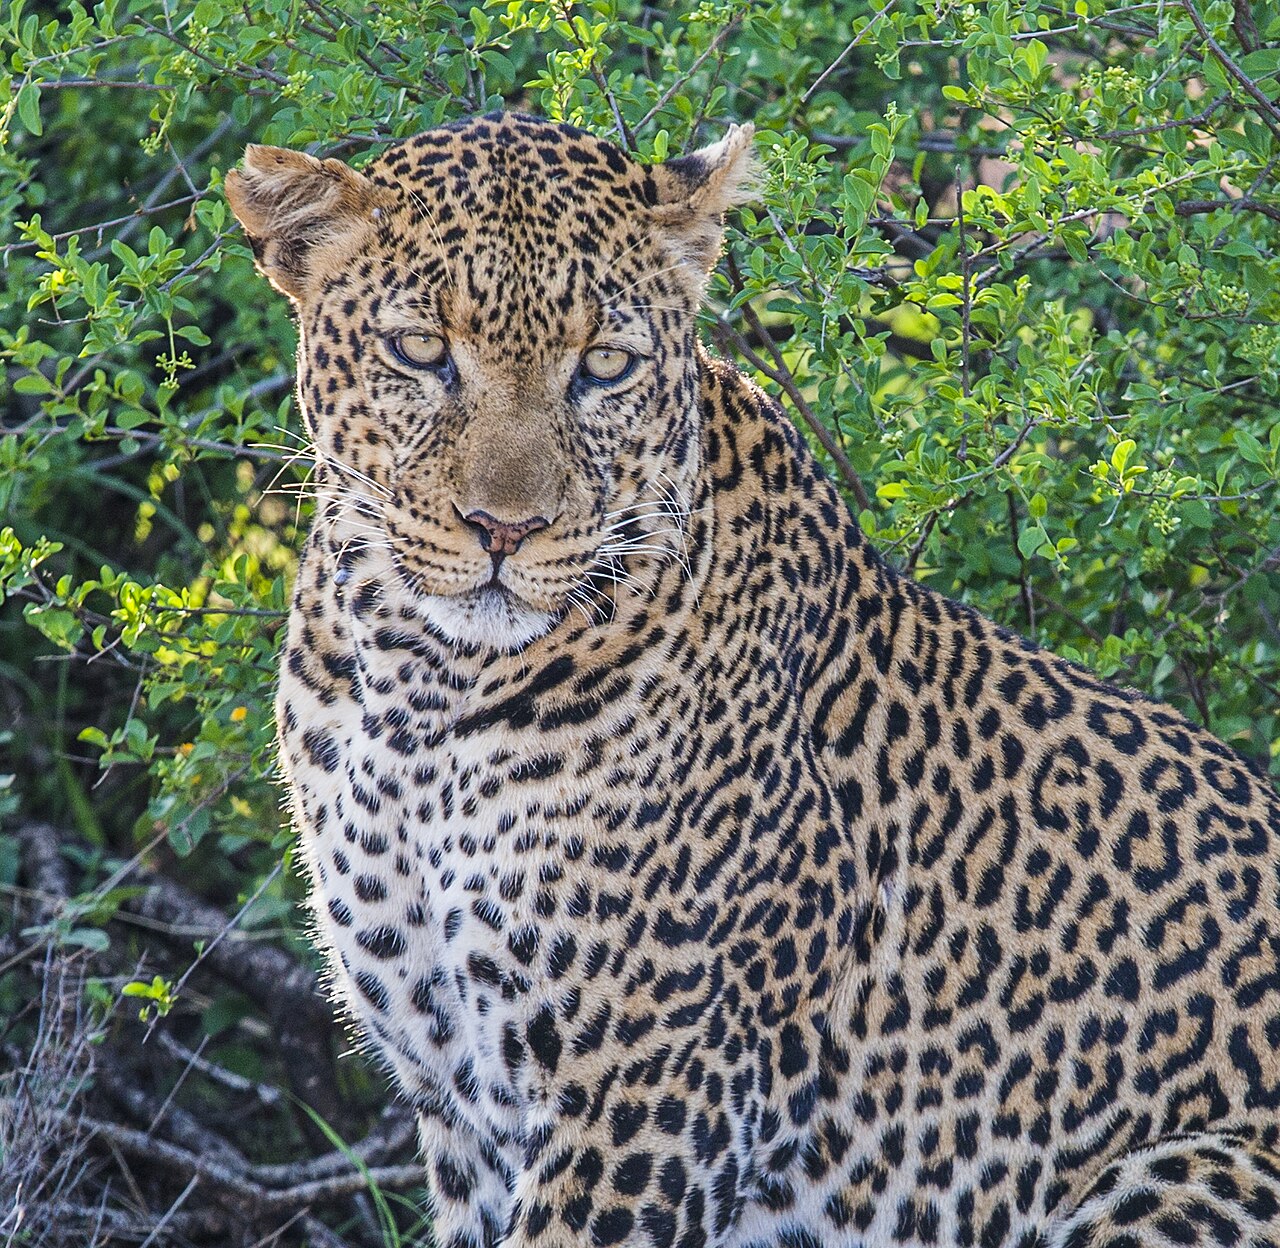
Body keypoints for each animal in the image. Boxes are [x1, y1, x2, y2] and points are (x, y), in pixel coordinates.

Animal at [225, 112, 1280, 1248]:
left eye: (603, 366)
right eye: (421, 350)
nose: (505, 529)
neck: (421, 692)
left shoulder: (651, 1077)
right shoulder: (457, 1097)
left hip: (1187, 1172)